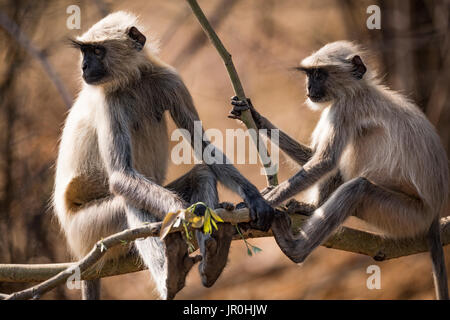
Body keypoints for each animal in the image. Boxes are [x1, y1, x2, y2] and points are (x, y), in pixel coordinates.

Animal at [54, 12, 276, 302]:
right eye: (85, 52)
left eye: (96, 51)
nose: (84, 67)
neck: (134, 80)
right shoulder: (107, 101)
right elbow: (120, 176)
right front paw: (183, 213)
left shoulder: (171, 80)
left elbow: (203, 146)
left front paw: (253, 197)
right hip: (88, 232)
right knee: (128, 200)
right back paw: (170, 279)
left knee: (201, 174)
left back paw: (211, 260)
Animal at [232, 40, 450, 300]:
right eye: (309, 75)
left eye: (319, 74)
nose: (308, 87)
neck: (357, 89)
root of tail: (435, 212)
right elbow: (316, 158)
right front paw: (255, 117)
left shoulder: (345, 108)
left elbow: (325, 161)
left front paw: (265, 201)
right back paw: (310, 209)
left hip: (407, 216)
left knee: (359, 185)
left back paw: (294, 248)